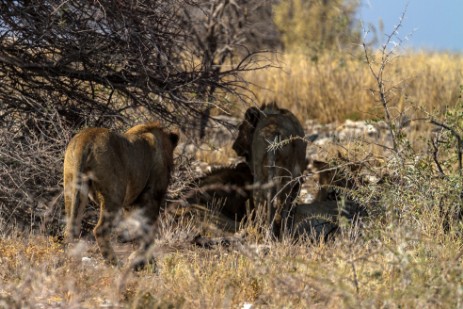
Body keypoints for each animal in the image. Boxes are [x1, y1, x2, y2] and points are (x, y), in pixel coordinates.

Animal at [234, 102, 306, 237]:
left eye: (241, 128)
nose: (234, 147)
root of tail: (275, 132)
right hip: (288, 178)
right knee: (283, 204)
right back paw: (282, 235)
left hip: (260, 177)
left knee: (264, 201)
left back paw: (266, 233)